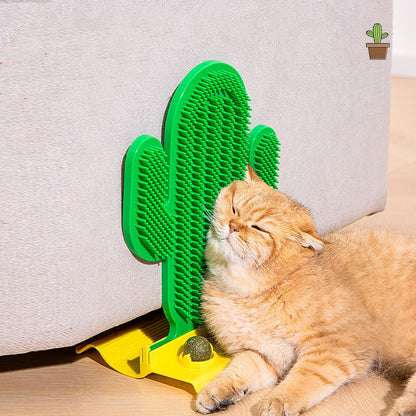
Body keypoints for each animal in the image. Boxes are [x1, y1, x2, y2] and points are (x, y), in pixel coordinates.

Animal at [196, 167, 416, 416]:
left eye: (258, 228)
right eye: (234, 208)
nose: (233, 225)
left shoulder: (336, 347)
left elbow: (302, 380)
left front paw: (277, 401)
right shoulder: (265, 356)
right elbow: (240, 369)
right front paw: (217, 391)